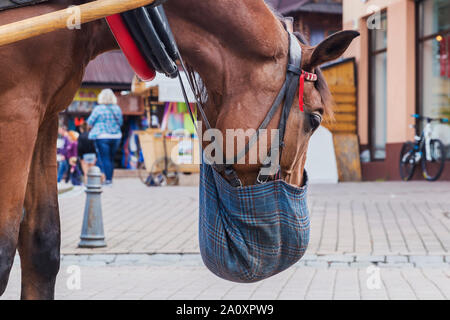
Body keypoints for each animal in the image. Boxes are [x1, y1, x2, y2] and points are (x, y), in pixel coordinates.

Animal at [0, 0, 358, 300]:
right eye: (314, 119)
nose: (288, 248)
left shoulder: (46, 115)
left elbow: (43, 247)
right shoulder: (17, 110)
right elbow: (4, 254)